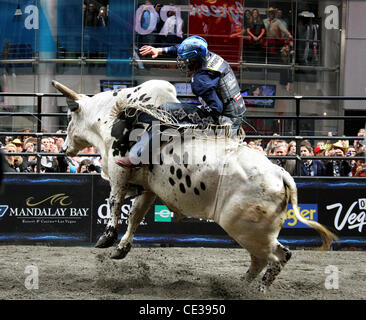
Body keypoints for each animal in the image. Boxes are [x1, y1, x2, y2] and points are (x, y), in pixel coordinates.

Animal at [53, 79, 336, 292]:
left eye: (68, 117)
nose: (65, 148)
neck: (111, 115)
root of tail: (280, 174)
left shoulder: (118, 172)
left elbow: (114, 201)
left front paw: (107, 238)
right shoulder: (149, 188)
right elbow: (135, 215)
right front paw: (121, 249)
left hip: (248, 230)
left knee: (278, 257)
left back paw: (257, 290)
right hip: (253, 233)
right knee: (261, 260)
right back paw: (240, 286)